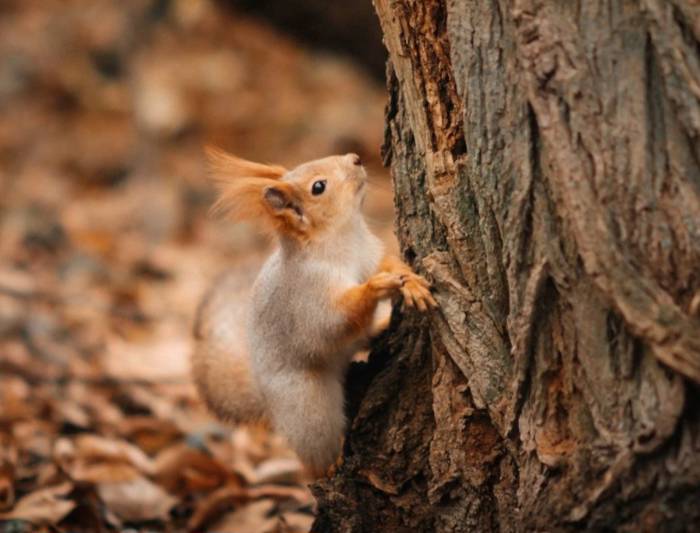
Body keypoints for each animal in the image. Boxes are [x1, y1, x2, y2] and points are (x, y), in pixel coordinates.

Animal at [189, 148, 434, 476]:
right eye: (319, 187)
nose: (355, 158)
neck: (343, 239)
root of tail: (266, 397)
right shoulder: (308, 299)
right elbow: (334, 321)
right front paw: (376, 287)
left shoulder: (370, 254)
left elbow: (388, 263)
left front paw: (411, 283)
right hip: (309, 407)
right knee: (316, 449)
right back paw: (331, 464)